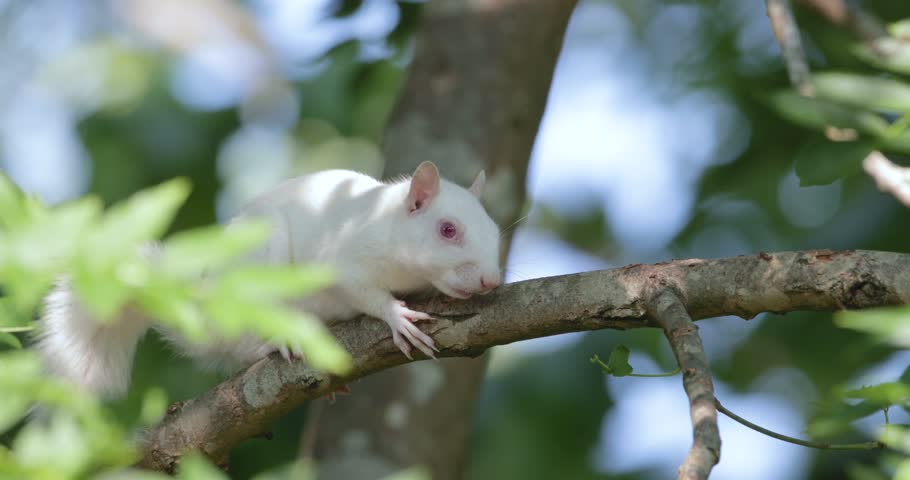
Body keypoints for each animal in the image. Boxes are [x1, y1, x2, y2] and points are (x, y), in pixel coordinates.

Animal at [34, 161, 502, 398]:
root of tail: (209, 322)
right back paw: (275, 341)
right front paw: (396, 317)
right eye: (447, 230)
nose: (490, 280)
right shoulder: (344, 257)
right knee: (244, 347)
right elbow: (363, 292)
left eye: (496, 231)